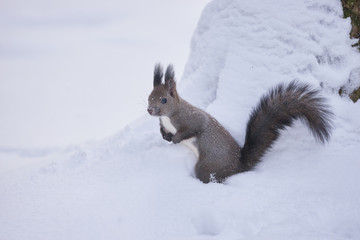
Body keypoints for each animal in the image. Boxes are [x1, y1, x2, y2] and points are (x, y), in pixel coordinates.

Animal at [146, 62, 332, 183]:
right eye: (149, 97)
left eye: (164, 100)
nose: (150, 110)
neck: (168, 117)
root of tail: (239, 165)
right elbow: (164, 131)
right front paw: (165, 136)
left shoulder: (192, 119)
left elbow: (191, 130)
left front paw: (176, 139)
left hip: (210, 165)